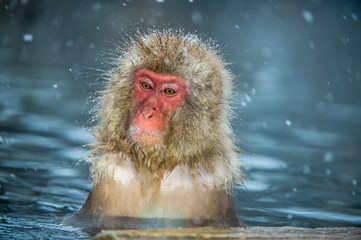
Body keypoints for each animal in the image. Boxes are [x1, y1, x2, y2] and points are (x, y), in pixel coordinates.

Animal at [69, 29, 243, 230]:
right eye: (146, 85)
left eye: (169, 91)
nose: (146, 113)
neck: (157, 165)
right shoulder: (116, 175)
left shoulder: (204, 184)